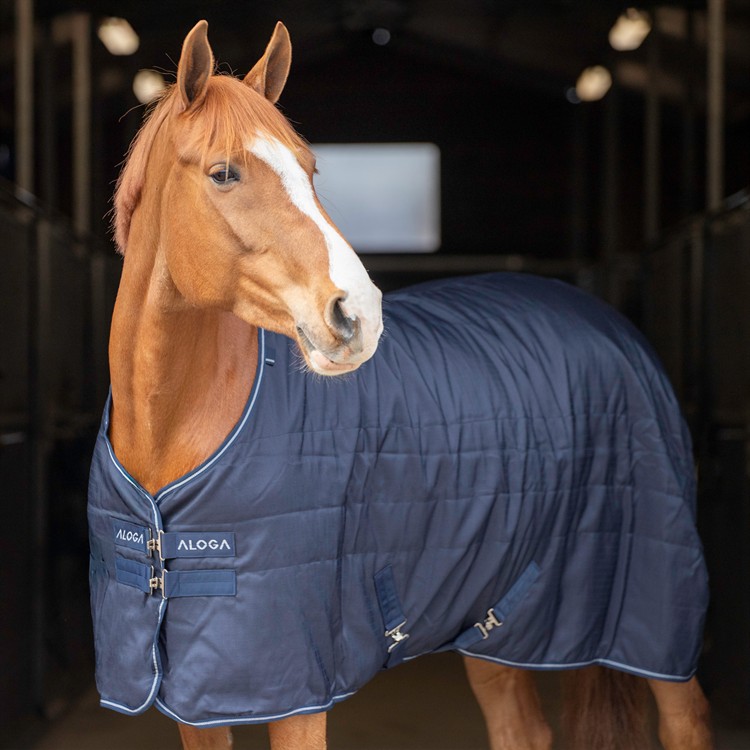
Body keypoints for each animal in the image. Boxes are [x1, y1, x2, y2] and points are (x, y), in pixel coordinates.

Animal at [88, 20, 714, 750]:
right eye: (223, 172)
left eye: (310, 169)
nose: (357, 314)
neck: (173, 438)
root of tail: (612, 326)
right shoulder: (198, 696)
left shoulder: (299, 687)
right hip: (495, 614)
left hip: (653, 612)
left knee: (685, 717)